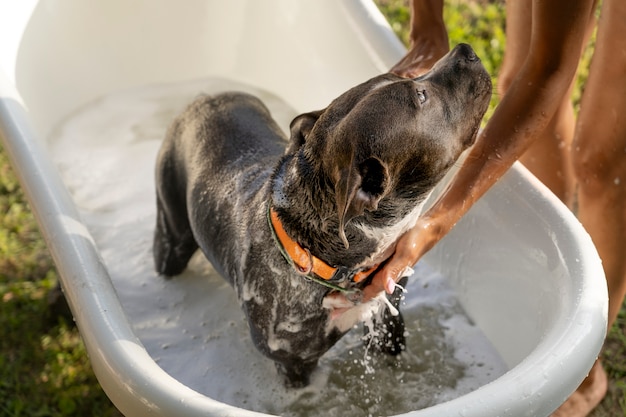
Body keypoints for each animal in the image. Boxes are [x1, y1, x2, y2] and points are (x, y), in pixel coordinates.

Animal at [154, 44, 490, 386]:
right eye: (422, 96)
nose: (465, 50)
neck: (326, 261)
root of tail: (205, 96)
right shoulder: (294, 364)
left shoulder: (388, 315)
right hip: (172, 235)